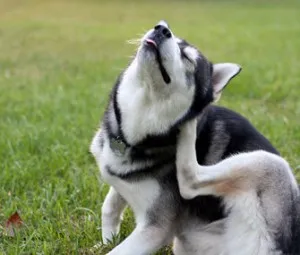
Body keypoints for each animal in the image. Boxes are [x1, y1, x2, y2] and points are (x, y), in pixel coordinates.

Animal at [91, 20, 282, 254]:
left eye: (188, 58)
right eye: (175, 40)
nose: (162, 29)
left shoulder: (156, 228)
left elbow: (119, 249)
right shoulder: (121, 180)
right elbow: (109, 206)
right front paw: (105, 240)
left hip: (263, 164)